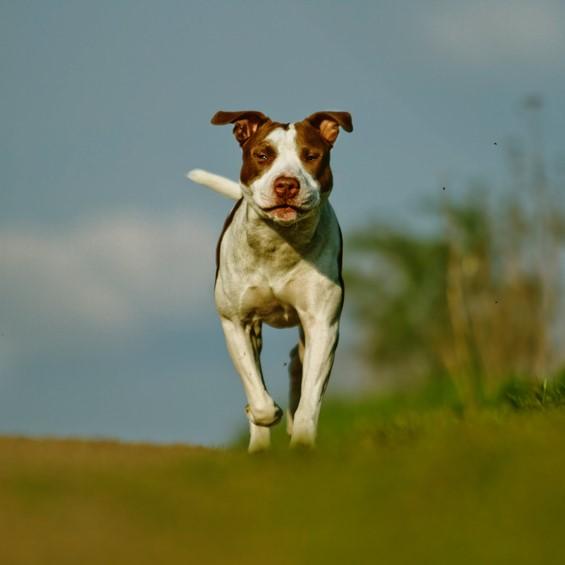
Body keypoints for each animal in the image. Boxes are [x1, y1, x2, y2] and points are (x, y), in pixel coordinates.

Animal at [187, 110, 350, 452]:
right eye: (263, 155)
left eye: (311, 156)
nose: (286, 184)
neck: (279, 244)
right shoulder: (236, 322)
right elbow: (257, 393)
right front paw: (263, 413)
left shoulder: (323, 323)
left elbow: (311, 397)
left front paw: (302, 440)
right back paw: (259, 446)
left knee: (299, 364)